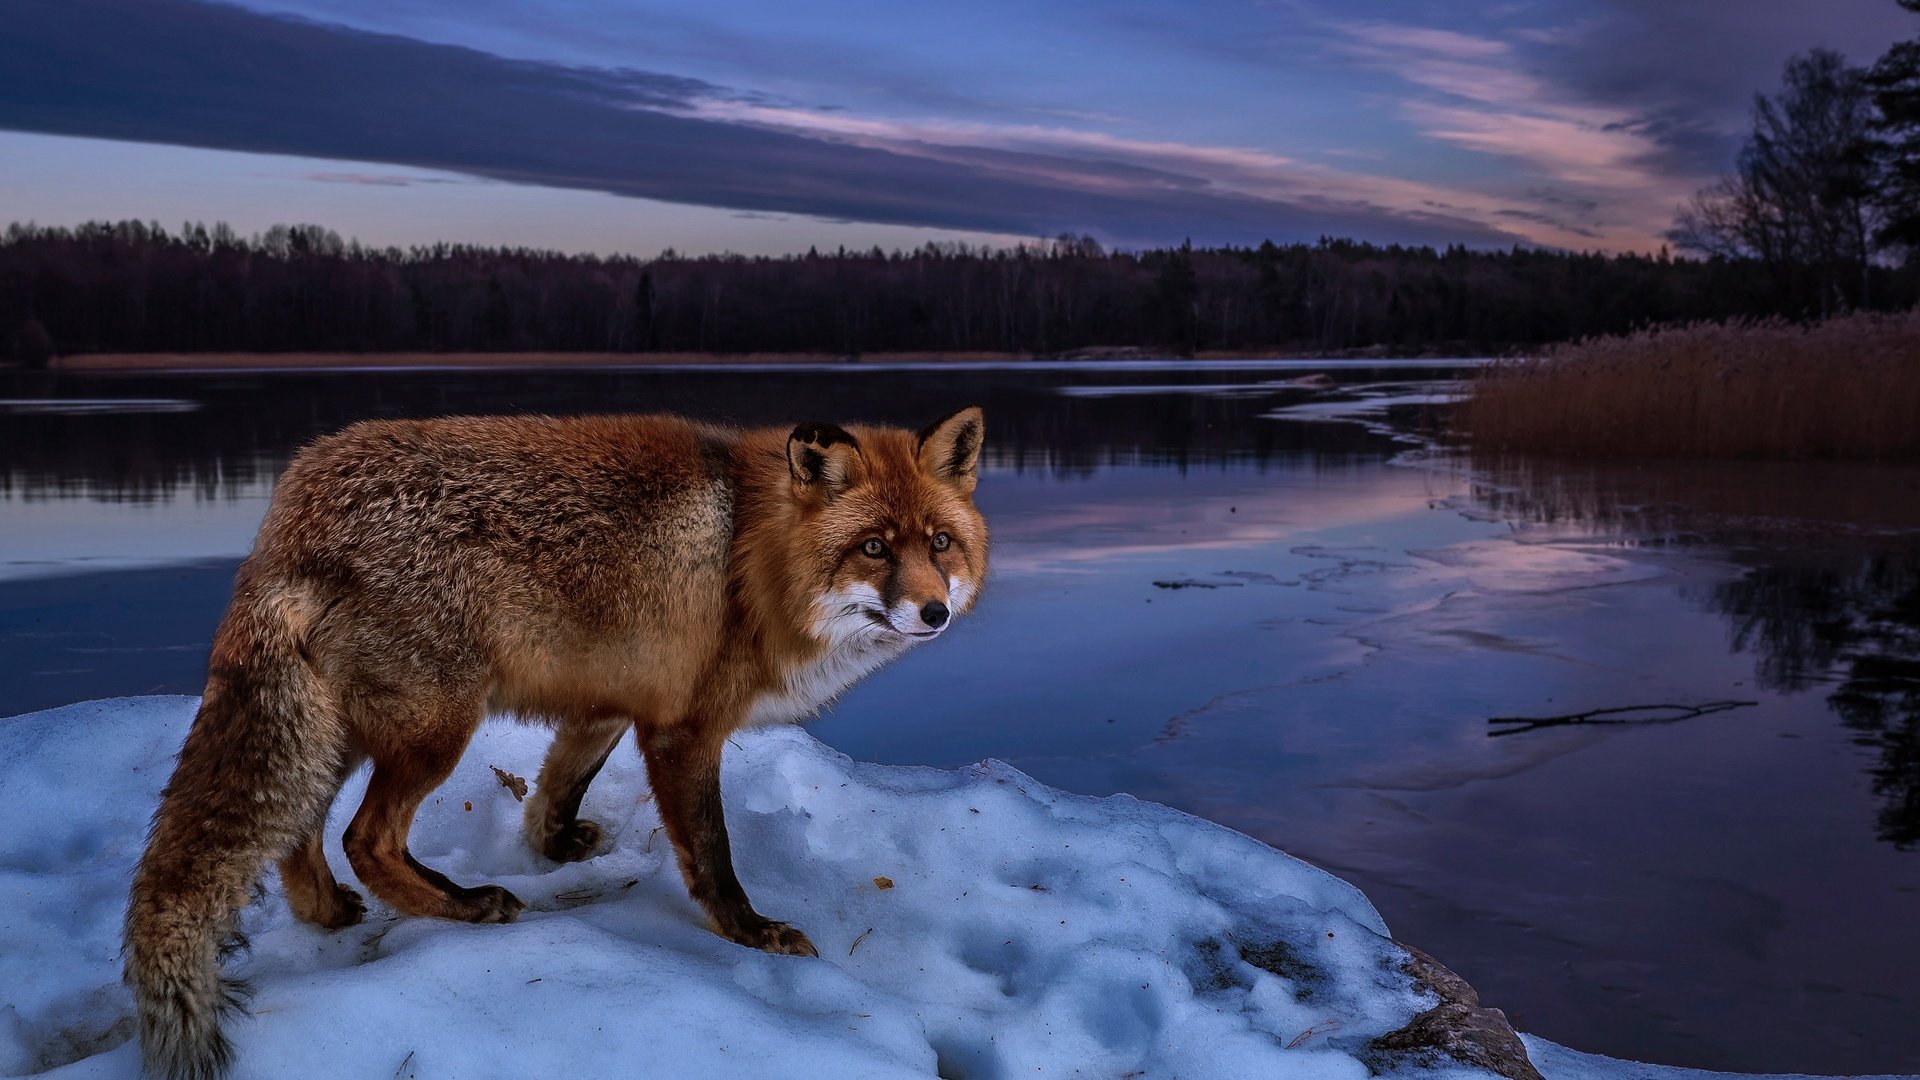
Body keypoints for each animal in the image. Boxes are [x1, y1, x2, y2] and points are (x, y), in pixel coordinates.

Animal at [121, 405, 990, 1076]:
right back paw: (463, 907)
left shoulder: (608, 701)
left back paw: (331, 913)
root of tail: (293, 507)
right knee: (364, 838)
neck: (751, 559)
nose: (935, 612)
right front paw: (749, 934)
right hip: (435, 731)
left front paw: (554, 846)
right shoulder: (683, 731)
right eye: (873, 547)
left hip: (345, 730)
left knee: (299, 835)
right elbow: (712, 856)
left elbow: (557, 787)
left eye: (939, 544)